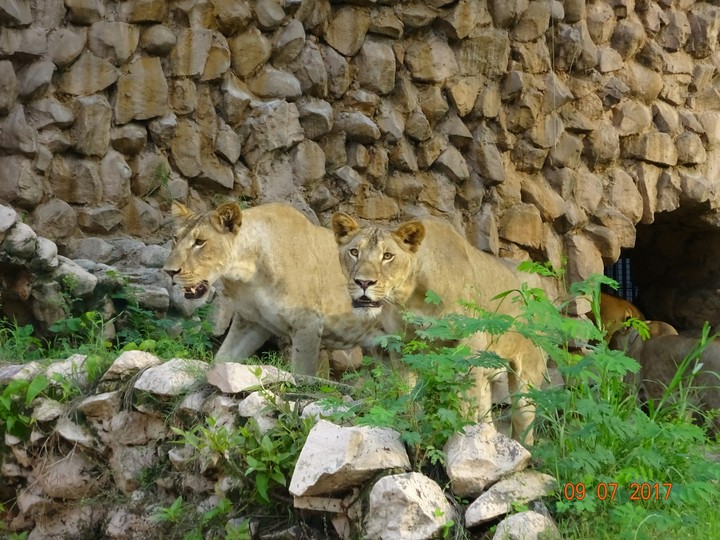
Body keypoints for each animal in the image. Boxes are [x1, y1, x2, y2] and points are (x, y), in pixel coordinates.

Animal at [163, 202, 383, 376]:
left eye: (200, 242)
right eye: (175, 239)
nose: (168, 271)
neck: (247, 272)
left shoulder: (308, 324)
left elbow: (302, 374)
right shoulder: (252, 322)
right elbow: (223, 358)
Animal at [331, 212, 556, 445]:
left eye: (387, 256)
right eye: (354, 252)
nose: (363, 282)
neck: (410, 296)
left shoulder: (470, 343)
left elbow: (463, 403)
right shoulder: (402, 347)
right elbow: (407, 397)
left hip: (527, 378)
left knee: (524, 426)